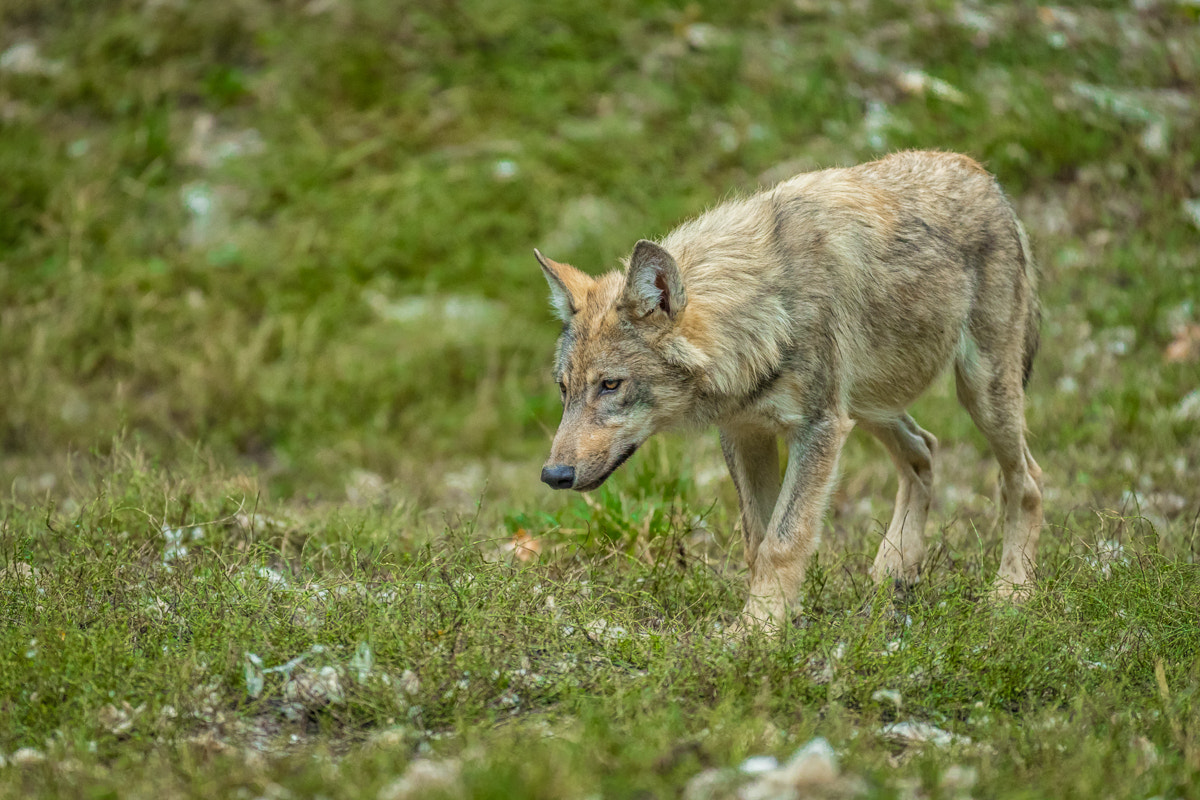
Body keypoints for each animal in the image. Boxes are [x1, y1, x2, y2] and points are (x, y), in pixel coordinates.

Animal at [535, 151, 1044, 628]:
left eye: (610, 385)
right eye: (564, 389)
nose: (553, 475)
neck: (763, 314)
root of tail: (980, 172)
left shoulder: (817, 430)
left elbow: (785, 538)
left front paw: (753, 632)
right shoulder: (745, 433)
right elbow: (757, 540)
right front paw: (778, 620)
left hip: (978, 393)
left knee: (1026, 480)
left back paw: (1012, 589)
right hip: (866, 407)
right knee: (925, 450)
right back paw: (895, 571)